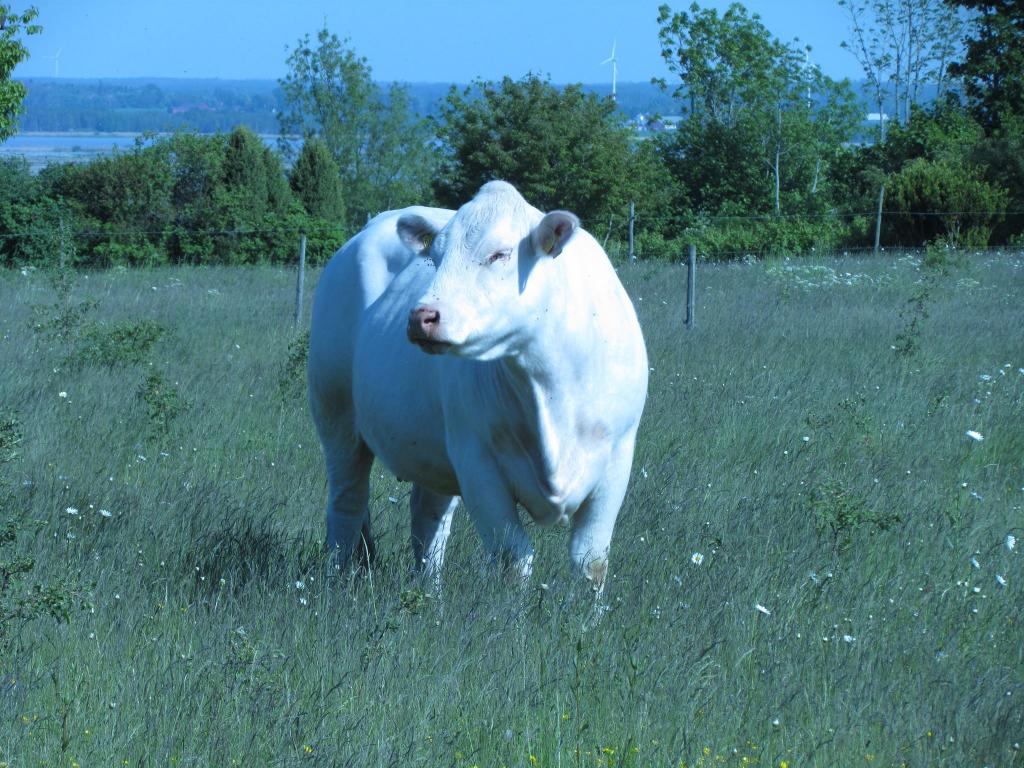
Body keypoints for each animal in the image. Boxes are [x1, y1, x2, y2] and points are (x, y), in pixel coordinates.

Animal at [307, 182, 647, 593]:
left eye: (499, 254)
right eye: (434, 258)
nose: (421, 317)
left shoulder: (617, 459)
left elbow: (591, 562)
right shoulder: (477, 462)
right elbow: (512, 558)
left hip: (433, 449)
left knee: (429, 520)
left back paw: (430, 593)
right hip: (336, 414)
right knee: (347, 503)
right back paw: (335, 581)